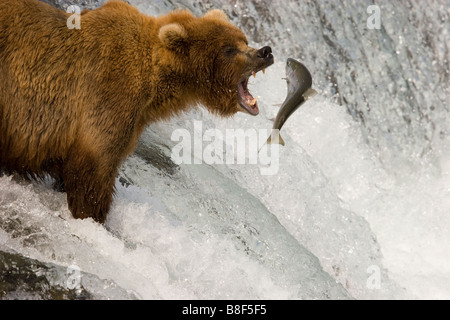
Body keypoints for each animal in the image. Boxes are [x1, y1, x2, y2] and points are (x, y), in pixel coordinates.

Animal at [0, 0, 274, 222]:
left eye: (243, 40)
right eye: (228, 49)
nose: (265, 51)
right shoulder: (110, 94)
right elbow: (92, 171)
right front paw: (94, 217)